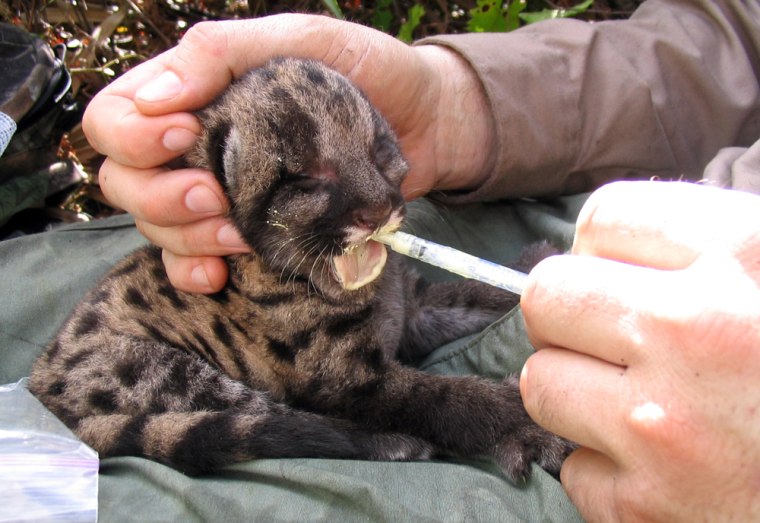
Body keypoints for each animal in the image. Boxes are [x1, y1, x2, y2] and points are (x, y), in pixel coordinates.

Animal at [31, 58, 576, 484]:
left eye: (380, 150)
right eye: (306, 181)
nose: (379, 211)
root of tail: (41, 389)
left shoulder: (414, 307)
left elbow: (471, 298)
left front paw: (535, 273)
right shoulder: (347, 380)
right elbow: (446, 399)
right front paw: (529, 424)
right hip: (164, 370)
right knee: (262, 422)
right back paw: (390, 443)